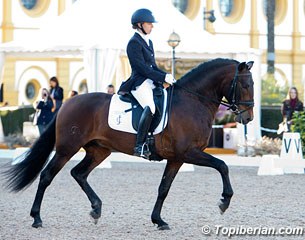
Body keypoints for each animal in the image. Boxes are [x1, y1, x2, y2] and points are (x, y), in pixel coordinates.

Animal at [2, 58, 254, 231]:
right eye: (245, 85)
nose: (249, 117)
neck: (193, 101)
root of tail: (68, 103)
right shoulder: (189, 153)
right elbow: (222, 165)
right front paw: (224, 201)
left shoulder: (177, 158)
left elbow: (164, 188)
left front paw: (158, 220)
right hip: (67, 149)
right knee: (47, 176)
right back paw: (36, 218)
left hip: (99, 150)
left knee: (79, 173)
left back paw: (96, 208)